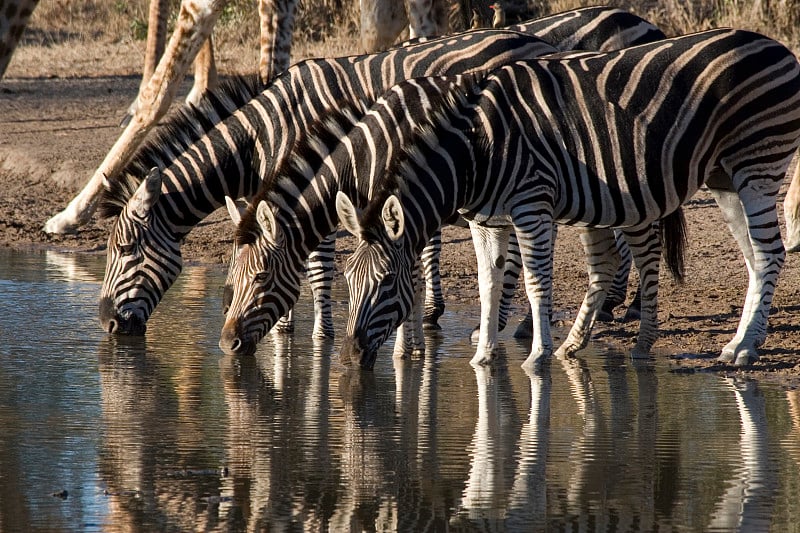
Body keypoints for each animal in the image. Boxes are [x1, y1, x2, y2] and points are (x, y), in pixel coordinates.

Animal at [97, 7, 664, 336]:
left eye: (125, 250)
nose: (105, 325)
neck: (266, 132)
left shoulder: (315, 182)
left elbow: (318, 264)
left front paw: (305, 331)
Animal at [334, 28, 800, 370]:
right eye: (348, 281)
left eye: (386, 282)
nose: (350, 357)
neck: (474, 152)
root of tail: (776, 45)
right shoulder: (485, 221)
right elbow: (488, 284)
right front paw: (483, 356)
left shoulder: (531, 207)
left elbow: (535, 281)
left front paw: (536, 356)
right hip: (723, 179)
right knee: (753, 258)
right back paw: (743, 340)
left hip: (757, 165)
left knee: (769, 253)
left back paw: (745, 348)